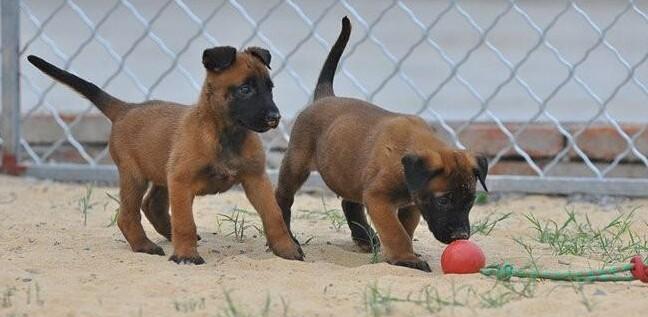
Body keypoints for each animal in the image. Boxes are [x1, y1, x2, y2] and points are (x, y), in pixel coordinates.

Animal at [28, 45, 304, 262]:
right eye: (245, 89)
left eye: (270, 88)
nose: (275, 117)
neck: (225, 134)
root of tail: (126, 108)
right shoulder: (182, 182)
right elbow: (185, 222)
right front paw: (186, 255)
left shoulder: (256, 179)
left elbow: (274, 216)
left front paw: (286, 249)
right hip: (135, 176)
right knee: (128, 215)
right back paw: (145, 245)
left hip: (161, 174)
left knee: (151, 205)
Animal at [276, 17, 488, 270]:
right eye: (444, 200)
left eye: (471, 200)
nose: (461, 236)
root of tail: (325, 96)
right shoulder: (378, 199)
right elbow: (395, 231)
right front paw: (406, 258)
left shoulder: (411, 204)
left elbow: (405, 229)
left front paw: (401, 254)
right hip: (296, 164)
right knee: (284, 198)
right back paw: (287, 237)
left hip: (348, 172)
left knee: (350, 204)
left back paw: (364, 239)